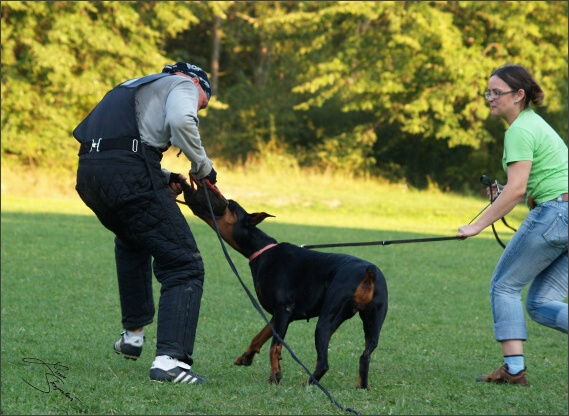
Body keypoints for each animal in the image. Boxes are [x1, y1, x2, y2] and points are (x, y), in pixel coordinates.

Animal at [194, 198, 386, 390]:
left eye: (230, 205)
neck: (263, 250)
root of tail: (368, 274)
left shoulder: (283, 310)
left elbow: (274, 347)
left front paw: (274, 375)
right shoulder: (278, 315)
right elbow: (259, 337)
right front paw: (245, 357)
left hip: (326, 321)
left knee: (323, 363)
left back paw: (306, 384)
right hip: (373, 323)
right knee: (365, 356)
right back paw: (362, 386)